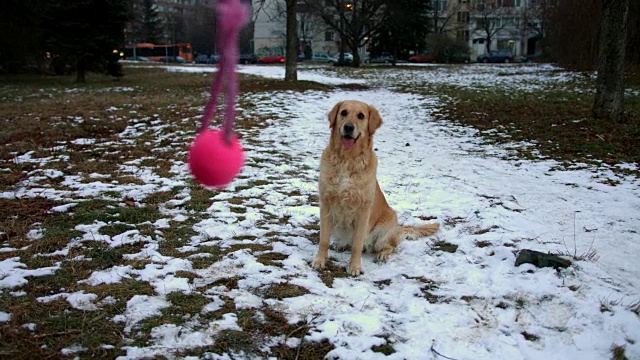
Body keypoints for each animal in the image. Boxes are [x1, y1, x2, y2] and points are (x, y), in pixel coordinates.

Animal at [312, 100, 440, 276]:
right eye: (343, 113)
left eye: (361, 116)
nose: (348, 127)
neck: (347, 159)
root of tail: (396, 229)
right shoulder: (326, 204)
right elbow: (323, 240)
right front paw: (319, 261)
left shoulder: (363, 210)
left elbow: (357, 245)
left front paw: (355, 267)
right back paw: (341, 244)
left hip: (385, 228)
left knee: (391, 246)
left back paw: (382, 255)